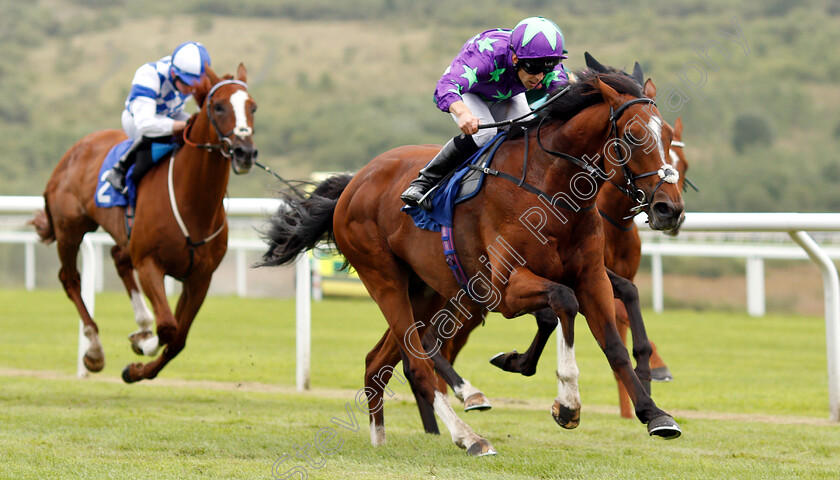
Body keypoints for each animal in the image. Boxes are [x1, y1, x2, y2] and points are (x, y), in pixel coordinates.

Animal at [30, 63, 256, 384]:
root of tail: (73, 151)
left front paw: (137, 369)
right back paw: (95, 350)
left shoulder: (200, 278)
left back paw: (140, 322)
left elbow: (177, 339)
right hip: (70, 229)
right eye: (219, 106)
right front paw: (142, 343)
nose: (245, 152)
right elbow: (168, 327)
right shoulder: (150, 263)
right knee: (70, 278)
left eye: (253, 107)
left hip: (124, 237)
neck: (193, 204)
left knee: (118, 258)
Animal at [260, 70, 684, 454]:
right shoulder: (505, 290)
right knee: (417, 362)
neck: (551, 187)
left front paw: (654, 413)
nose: (670, 209)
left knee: (380, 361)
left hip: (427, 289)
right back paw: (469, 435)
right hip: (385, 278)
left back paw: (380, 438)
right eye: (633, 135)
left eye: (666, 136)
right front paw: (566, 404)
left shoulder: (592, 276)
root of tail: (353, 183)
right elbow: (563, 302)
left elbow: (612, 341)